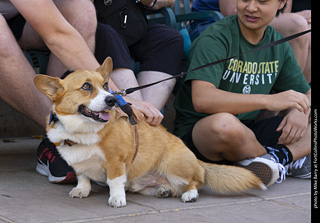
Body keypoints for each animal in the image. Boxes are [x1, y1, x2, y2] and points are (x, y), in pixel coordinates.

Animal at [34, 57, 264, 207]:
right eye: (86, 87)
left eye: (106, 85)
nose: (111, 99)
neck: (82, 129)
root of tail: (198, 160)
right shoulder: (79, 163)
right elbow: (83, 176)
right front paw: (82, 190)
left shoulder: (116, 161)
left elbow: (114, 181)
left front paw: (116, 199)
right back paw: (163, 190)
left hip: (176, 164)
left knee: (197, 181)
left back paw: (190, 194)